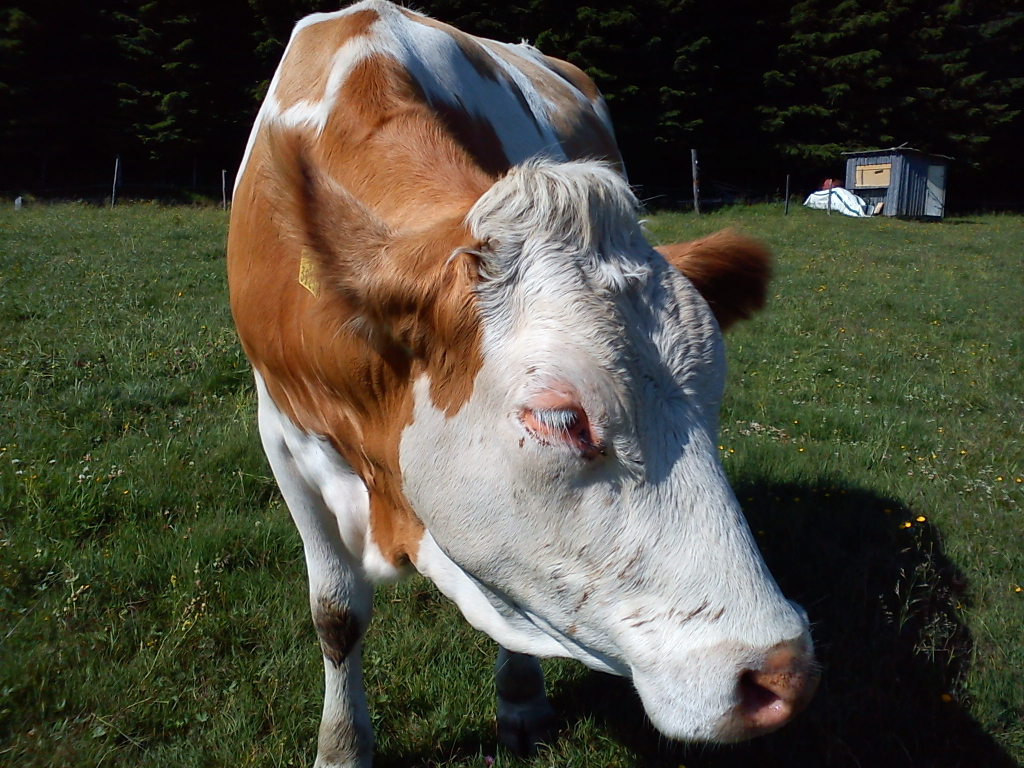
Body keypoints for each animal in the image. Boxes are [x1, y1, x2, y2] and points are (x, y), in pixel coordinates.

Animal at [226, 2, 817, 766]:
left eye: (713, 400)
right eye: (561, 419)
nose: (784, 673)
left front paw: (521, 698)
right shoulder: (282, 434)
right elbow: (335, 612)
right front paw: (342, 746)